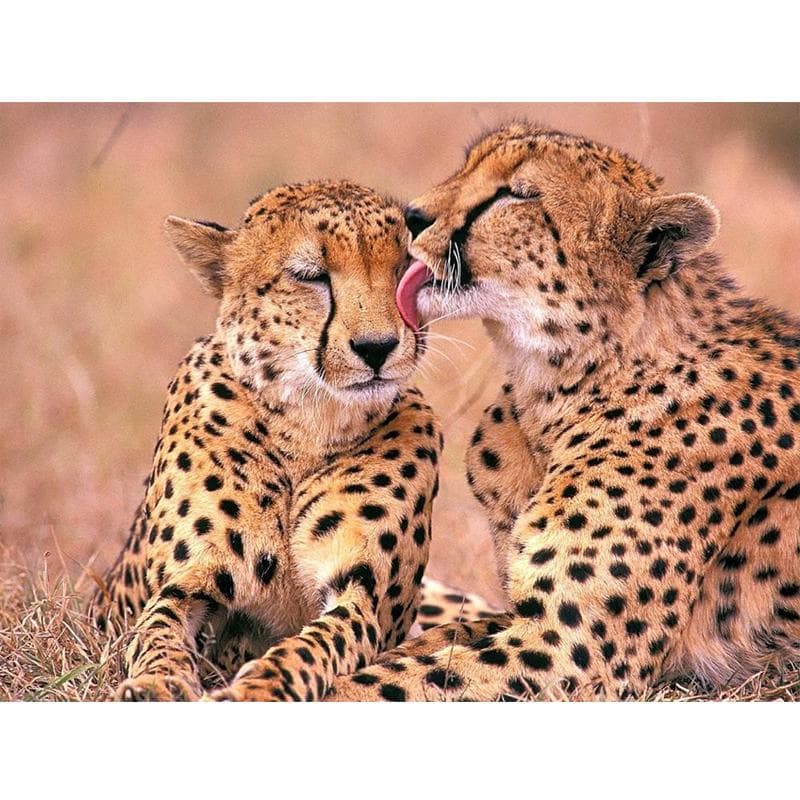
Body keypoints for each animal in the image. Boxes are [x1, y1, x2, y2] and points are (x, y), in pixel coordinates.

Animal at [90, 179, 443, 701]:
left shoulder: (361, 596)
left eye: (405, 269)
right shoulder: (186, 583)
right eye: (309, 276)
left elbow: (312, 645)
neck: (308, 425)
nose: (377, 347)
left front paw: (259, 688)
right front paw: (156, 684)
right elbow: (157, 634)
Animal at [326, 123, 800, 701]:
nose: (411, 215)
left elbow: (385, 683)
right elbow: (425, 644)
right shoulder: (522, 617)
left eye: (516, 195)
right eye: (469, 164)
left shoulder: (569, 651)